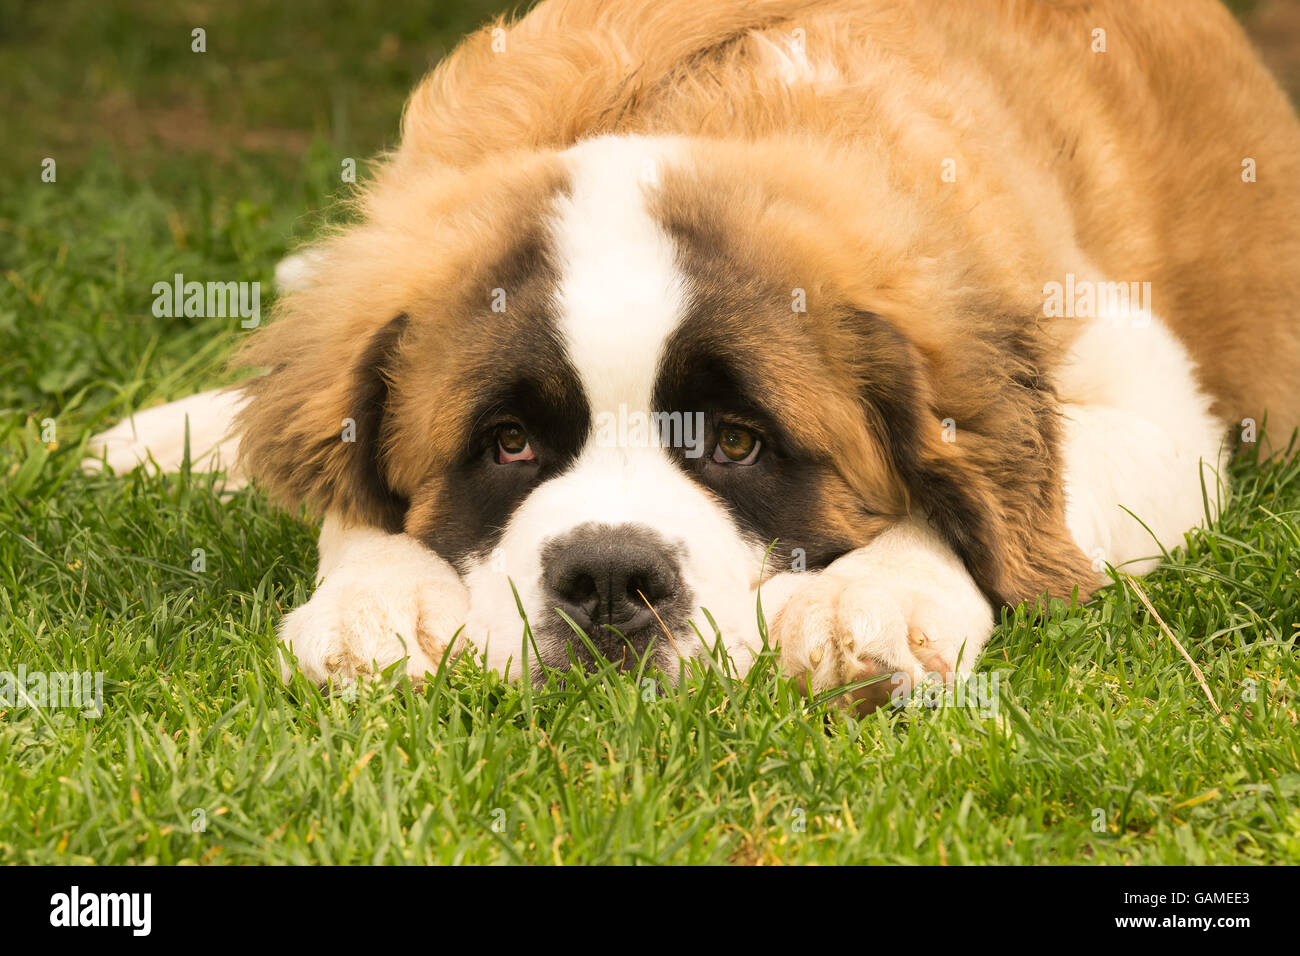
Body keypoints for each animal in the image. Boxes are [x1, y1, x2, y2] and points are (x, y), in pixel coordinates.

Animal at [89, 0, 1300, 712]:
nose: (608, 579)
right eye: (508, 444)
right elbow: (350, 491)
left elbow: (1001, 500)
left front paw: (875, 598)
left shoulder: (1149, 397)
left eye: (738, 443)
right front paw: (373, 603)